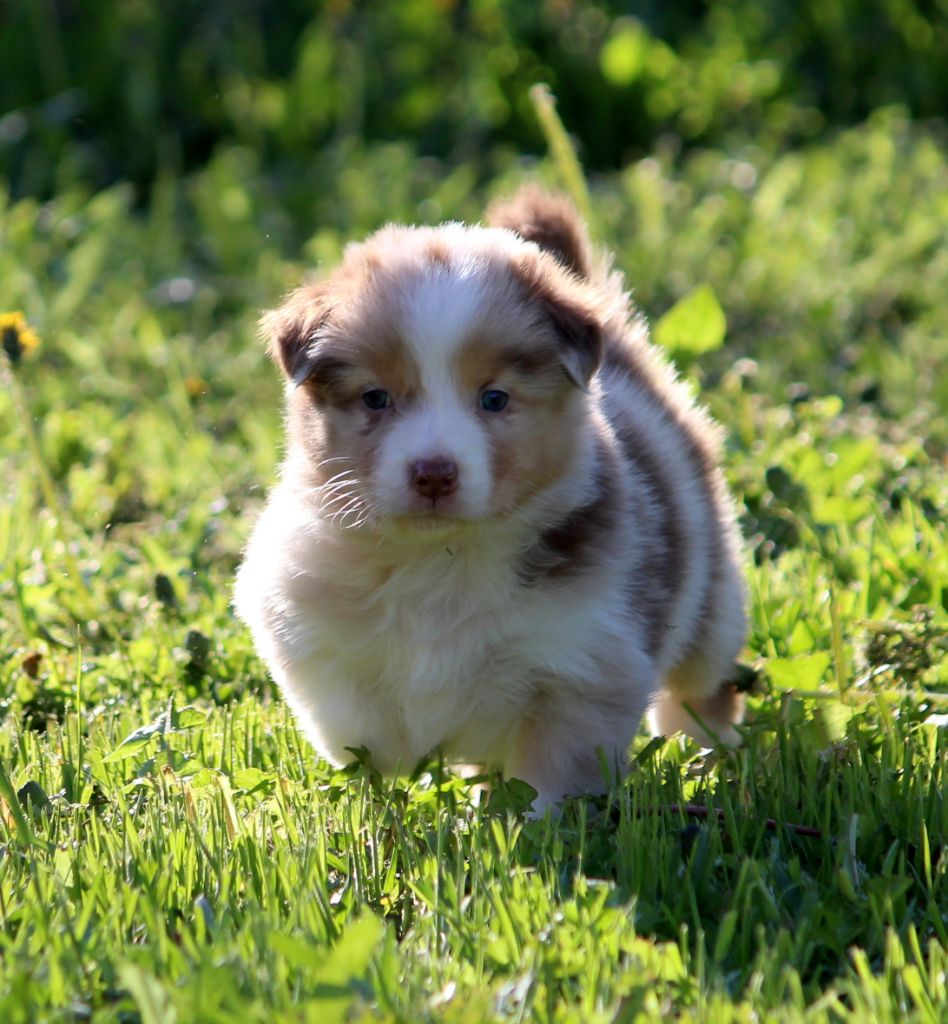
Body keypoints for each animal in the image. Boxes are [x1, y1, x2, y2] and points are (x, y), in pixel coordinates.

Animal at [235, 187, 747, 814]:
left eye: (495, 399)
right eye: (375, 398)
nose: (434, 473)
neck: (438, 561)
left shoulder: (584, 668)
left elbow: (551, 778)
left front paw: (538, 829)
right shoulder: (311, 632)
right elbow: (361, 732)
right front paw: (388, 787)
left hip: (710, 604)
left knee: (703, 687)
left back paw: (704, 751)